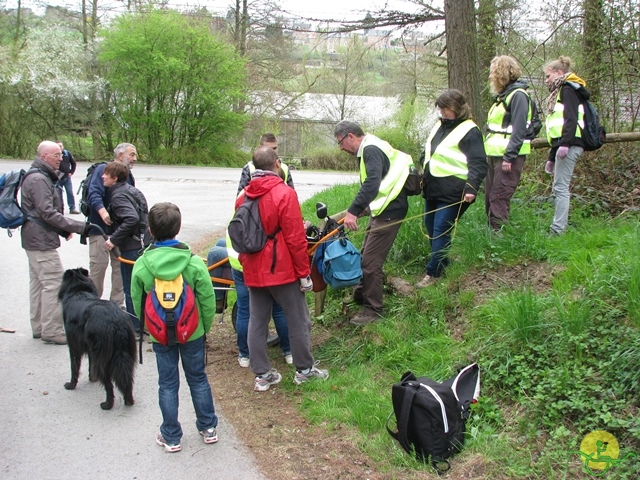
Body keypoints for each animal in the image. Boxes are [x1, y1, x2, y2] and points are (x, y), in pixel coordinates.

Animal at [58, 268, 136, 410]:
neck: (78, 290)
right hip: (126, 353)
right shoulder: (89, 348)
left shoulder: (73, 345)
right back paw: (128, 400)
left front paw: (71, 385)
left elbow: (74, 366)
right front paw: (92, 378)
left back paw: (107, 404)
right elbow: (90, 364)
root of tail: (115, 322)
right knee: (127, 378)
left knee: (109, 384)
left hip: (103, 356)